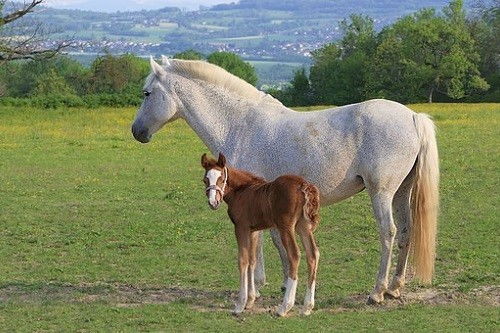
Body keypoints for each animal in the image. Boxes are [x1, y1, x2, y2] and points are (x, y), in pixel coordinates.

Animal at [200, 152, 320, 316]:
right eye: (205, 180)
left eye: (222, 179)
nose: (213, 202)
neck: (241, 191)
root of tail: (304, 185)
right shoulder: (254, 230)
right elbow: (252, 260)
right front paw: (250, 300)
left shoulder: (241, 228)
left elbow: (243, 260)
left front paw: (240, 304)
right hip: (304, 226)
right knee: (313, 254)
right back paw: (307, 306)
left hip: (286, 227)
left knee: (294, 255)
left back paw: (285, 307)